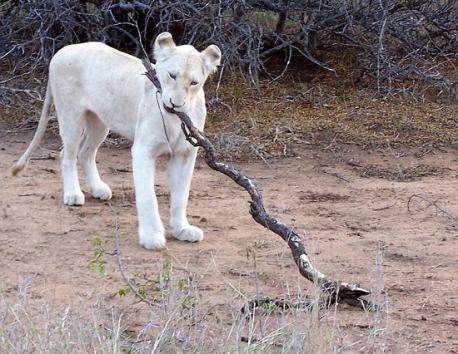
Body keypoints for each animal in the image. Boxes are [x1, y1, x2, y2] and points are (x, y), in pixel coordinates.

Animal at [11, 32, 221, 249]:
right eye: (172, 75)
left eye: (194, 83)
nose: (175, 104)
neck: (174, 119)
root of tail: (62, 50)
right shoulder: (144, 150)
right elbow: (147, 197)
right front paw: (151, 237)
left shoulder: (185, 153)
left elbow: (181, 195)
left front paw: (182, 230)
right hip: (71, 116)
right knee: (66, 155)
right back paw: (73, 195)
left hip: (100, 121)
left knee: (85, 153)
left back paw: (98, 189)